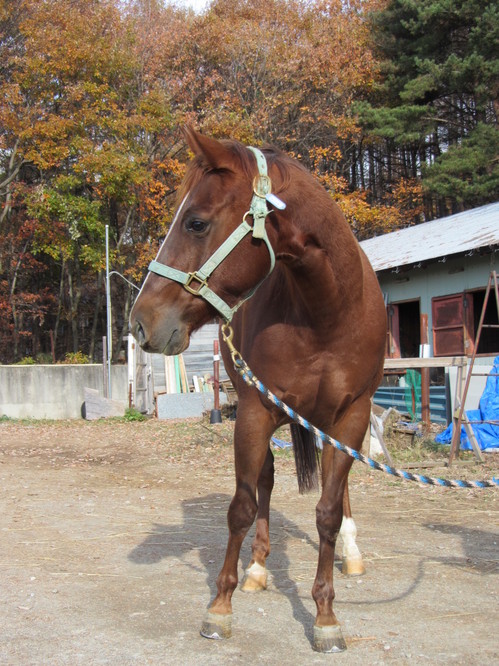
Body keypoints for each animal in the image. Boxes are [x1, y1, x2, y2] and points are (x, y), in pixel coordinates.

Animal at [130, 128, 386, 648]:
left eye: (196, 222)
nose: (140, 322)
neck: (327, 312)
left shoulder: (351, 416)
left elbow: (328, 512)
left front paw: (326, 617)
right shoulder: (254, 412)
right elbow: (243, 506)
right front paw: (220, 607)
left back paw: (351, 554)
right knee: (265, 481)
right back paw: (257, 568)